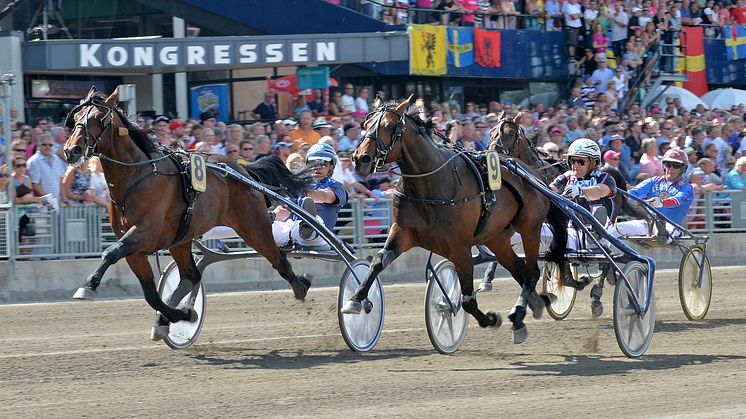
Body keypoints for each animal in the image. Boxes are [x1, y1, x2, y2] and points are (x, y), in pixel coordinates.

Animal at [61, 86, 310, 342]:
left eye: (98, 118)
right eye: (76, 117)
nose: (71, 150)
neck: (136, 177)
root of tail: (244, 170)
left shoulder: (144, 234)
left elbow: (110, 252)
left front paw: (88, 286)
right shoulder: (136, 251)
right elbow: (151, 294)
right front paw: (181, 314)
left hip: (254, 228)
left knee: (278, 258)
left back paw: (300, 286)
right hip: (181, 240)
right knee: (191, 276)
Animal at [342, 97, 564, 342]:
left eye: (390, 126)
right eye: (365, 124)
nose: (360, 159)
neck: (431, 184)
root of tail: (534, 175)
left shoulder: (460, 248)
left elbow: (467, 301)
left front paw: (489, 318)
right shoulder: (402, 231)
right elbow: (379, 261)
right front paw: (355, 299)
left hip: (530, 228)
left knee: (531, 272)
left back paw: (518, 316)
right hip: (496, 238)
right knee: (519, 268)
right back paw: (534, 305)